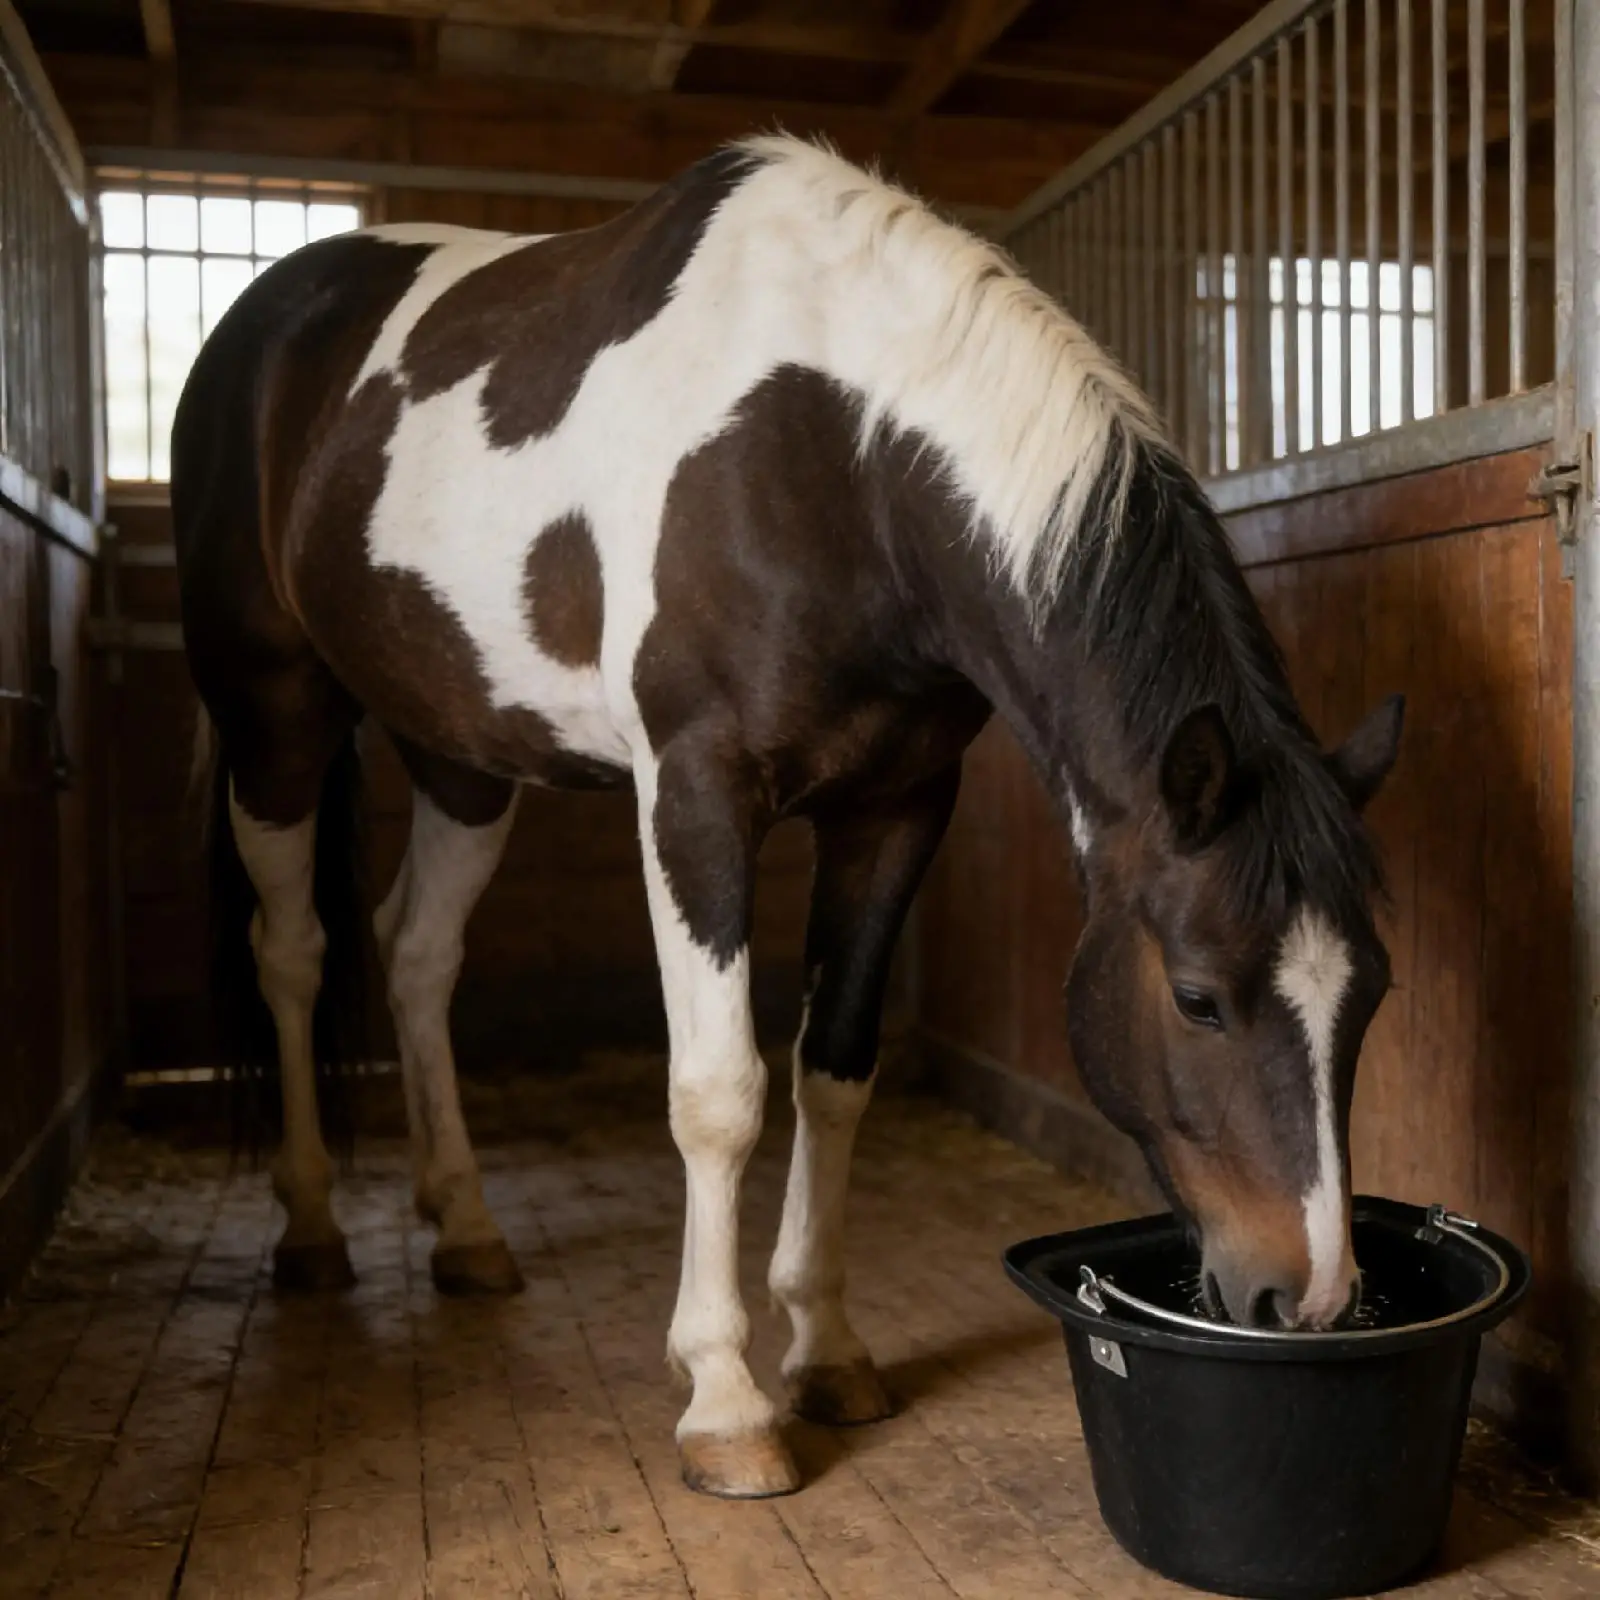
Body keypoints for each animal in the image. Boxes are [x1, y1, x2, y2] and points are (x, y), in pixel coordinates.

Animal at [171, 134, 1404, 1500]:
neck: (835, 452)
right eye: (1196, 998)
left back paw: (466, 1225)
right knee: (293, 952)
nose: (1308, 1296)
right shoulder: (696, 793)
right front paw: (724, 1396)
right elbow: (721, 1091)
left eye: (1371, 992)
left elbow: (835, 1071)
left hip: (463, 754)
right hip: (273, 713)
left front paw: (825, 1346)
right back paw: (312, 1224)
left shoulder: (895, 806)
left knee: (416, 953)